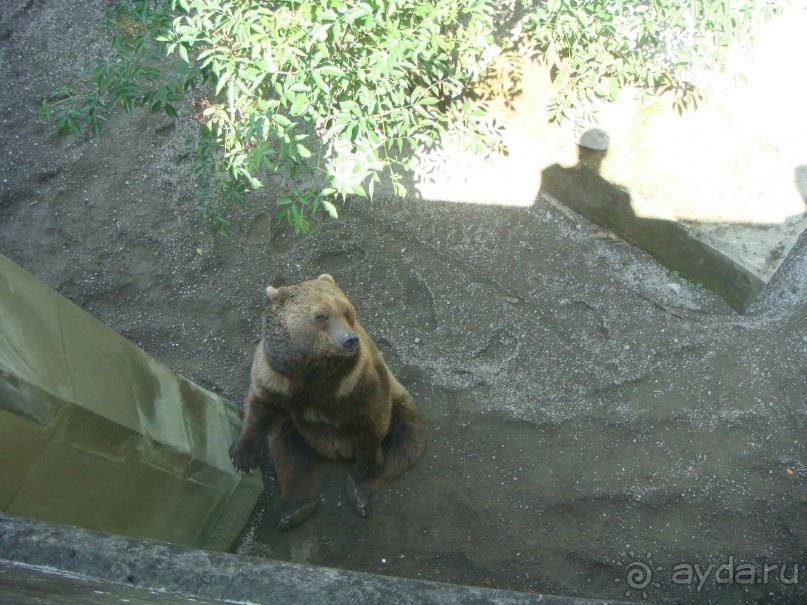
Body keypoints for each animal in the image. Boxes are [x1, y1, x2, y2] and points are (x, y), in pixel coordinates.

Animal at [230, 272, 426, 528]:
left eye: (345, 309)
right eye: (320, 315)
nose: (349, 340)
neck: (314, 373)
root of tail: (336, 453)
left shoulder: (357, 378)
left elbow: (374, 416)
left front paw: (368, 467)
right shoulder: (277, 377)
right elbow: (260, 410)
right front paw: (241, 456)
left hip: (402, 406)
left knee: (407, 442)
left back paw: (357, 490)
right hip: (296, 429)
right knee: (286, 453)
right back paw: (295, 510)